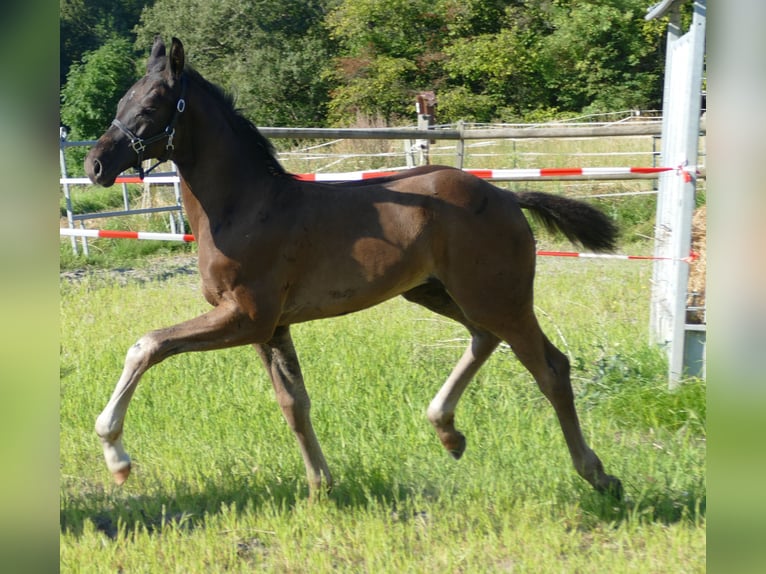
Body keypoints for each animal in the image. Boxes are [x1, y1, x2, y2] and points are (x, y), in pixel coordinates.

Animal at [85, 36, 622, 498]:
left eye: (150, 106)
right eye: (121, 102)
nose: (95, 165)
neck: (246, 207)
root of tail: (507, 196)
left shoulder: (247, 316)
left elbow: (147, 346)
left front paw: (116, 455)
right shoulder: (270, 327)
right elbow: (294, 404)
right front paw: (320, 487)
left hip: (499, 297)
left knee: (550, 368)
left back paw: (597, 475)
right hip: (438, 292)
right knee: (484, 339)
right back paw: (448, 432)